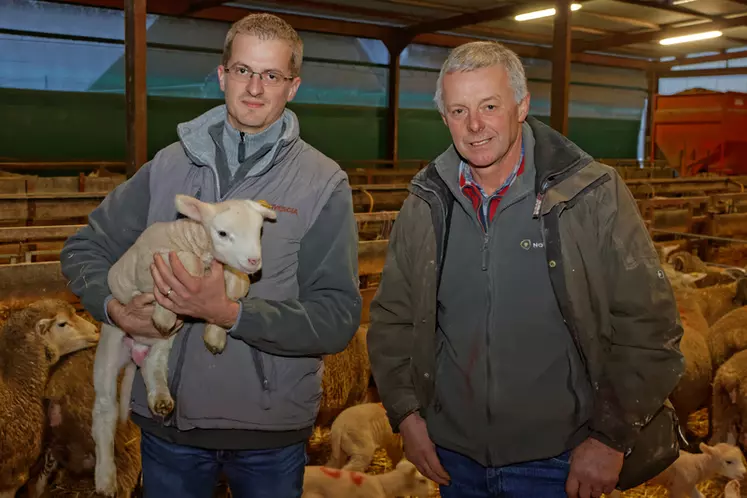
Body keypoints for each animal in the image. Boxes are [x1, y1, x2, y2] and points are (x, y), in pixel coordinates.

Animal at [93, 194, 278, 494]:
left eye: (260, 231)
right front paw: (167, 307)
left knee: (153, 367)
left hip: (162, 344)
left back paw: (161, 399)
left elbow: (236, 285)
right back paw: (105, 478)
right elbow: (185, 262)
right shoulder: (150, 264)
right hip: (111, 343)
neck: (197, 243)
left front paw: (215, 335)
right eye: (222, 233)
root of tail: (136, 349)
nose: (254, 260)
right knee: (104, 411)